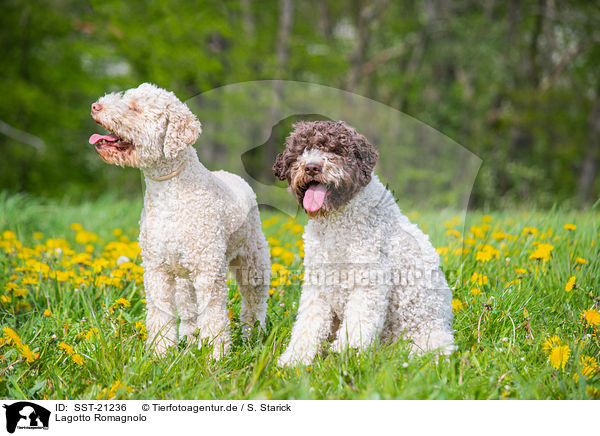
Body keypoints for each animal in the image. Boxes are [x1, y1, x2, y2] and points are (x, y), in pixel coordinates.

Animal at [89, 82, 270, 358]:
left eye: (135, 108)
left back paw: (254, 336)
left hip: (253, 262)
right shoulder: (157, 268)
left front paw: (216, 356)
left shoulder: (208, 270)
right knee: (189, 311)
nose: (95, 106)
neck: (170, 190)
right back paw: (189, 339)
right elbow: (160, 314)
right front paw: (160, 354)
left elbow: (214, 315)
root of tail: (234, 176)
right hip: (184, 278)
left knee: (254, 302)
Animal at [274, 121, 454, 366]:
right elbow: (307, 327)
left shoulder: (369, 283)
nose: (311, 167)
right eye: (302, 150)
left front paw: (343, 357)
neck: (336, 221)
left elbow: (356, 325)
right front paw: (294, 360)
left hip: (430, 340)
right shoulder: (318, 286)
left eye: (335, 150)